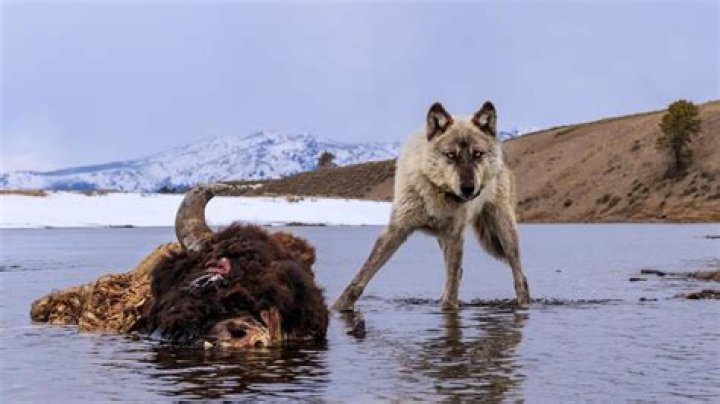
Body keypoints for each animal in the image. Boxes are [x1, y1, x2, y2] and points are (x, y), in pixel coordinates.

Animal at [331, 101, 530, 311]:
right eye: (451, 155)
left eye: (477, 154)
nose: (468, 189)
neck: (437, 193)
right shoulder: (397, 228)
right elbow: (362, 275)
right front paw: (338, 306)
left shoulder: (454, 234)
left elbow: (451, 290)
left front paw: (449, 308)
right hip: (445, 239)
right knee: (458, 273)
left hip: (504, 230)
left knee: (519, 277)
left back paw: (524, 303)